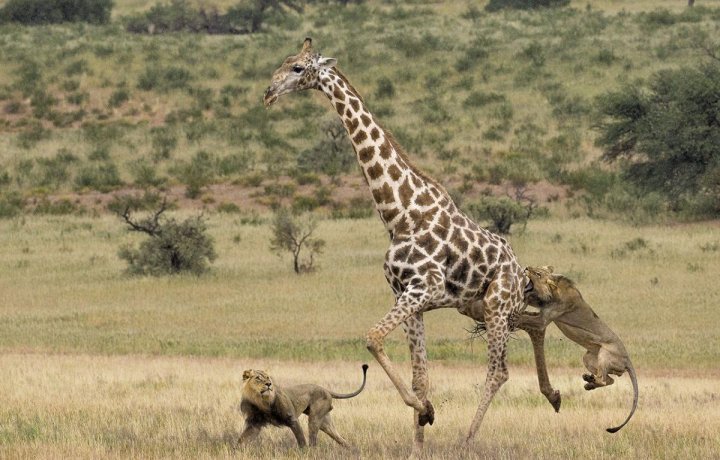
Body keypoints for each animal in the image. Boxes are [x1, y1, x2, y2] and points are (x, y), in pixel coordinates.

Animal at [239, 364, 368, 448]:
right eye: (258, 378)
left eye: (267, 377)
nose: (269, 384)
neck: (261, 400)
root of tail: (325, 389)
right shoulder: (255, 423)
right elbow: (242, 438)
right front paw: (237, 450)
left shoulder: (292, 419)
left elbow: (300, 438)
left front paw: (303, 451)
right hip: (325, 423)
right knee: (340, 438)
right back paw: (352, 450)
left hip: (315, 418)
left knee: (313, 441)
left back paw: (311, 452)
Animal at [264, 38, 528, 452]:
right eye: (285, 61)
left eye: (297, 68)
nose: (269, 92)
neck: (398, 212)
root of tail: (521, 273)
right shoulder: (407, 294)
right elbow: (420, 374)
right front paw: (419, 436)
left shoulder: (424, 288)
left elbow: (372, 337)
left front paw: (425, 411)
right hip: (475, 307)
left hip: (497, 306)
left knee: (498, 371)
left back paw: (467, 440)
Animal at [516, 266, 640, 434]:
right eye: (537, 269)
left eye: (538, 274)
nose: (527, 268)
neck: (554, 291)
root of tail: (628, 360)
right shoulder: (542, 307)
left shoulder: (543, 319)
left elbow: (524, 318)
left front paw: (512, 316)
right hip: (588, 358)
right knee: (610, 380)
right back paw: (589, 382)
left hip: (605, 354)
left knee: (604, 379)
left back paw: (591, 381)